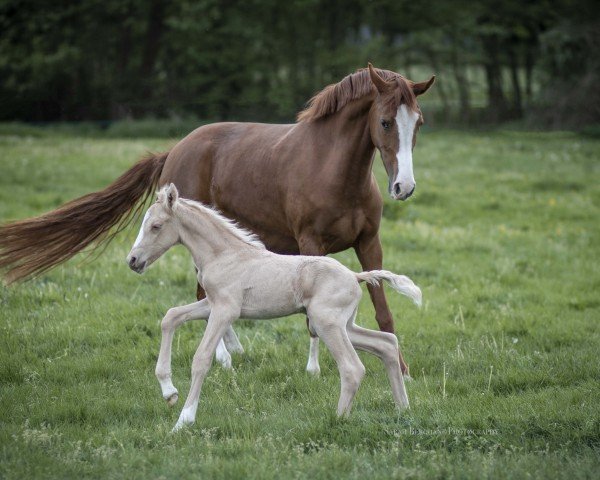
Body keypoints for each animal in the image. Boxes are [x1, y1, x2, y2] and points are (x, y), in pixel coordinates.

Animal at [0, 63, 434, 376]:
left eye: (418, 122)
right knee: (201, 294)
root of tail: (175, 149)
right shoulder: (311, 244)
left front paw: (403, 370)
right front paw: (314, 368)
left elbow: (383, 308)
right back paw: (226, 358)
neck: (333, 169)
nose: (404, 187)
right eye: (384, 122)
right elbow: (312, 318)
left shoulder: (369, 243)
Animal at [126, 185, 422, 432]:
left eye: (156, 226)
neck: (224, 254)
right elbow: (171, 317)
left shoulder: (225, 311)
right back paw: (403, 410)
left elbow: (201, 359)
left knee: (353, 368)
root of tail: (355, 275)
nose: (133, 260)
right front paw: (169, 392)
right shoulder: (211, 303)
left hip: (327, 324)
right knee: (386, 343)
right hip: (343, 325)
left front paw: (183, 421)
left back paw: (338, 419)